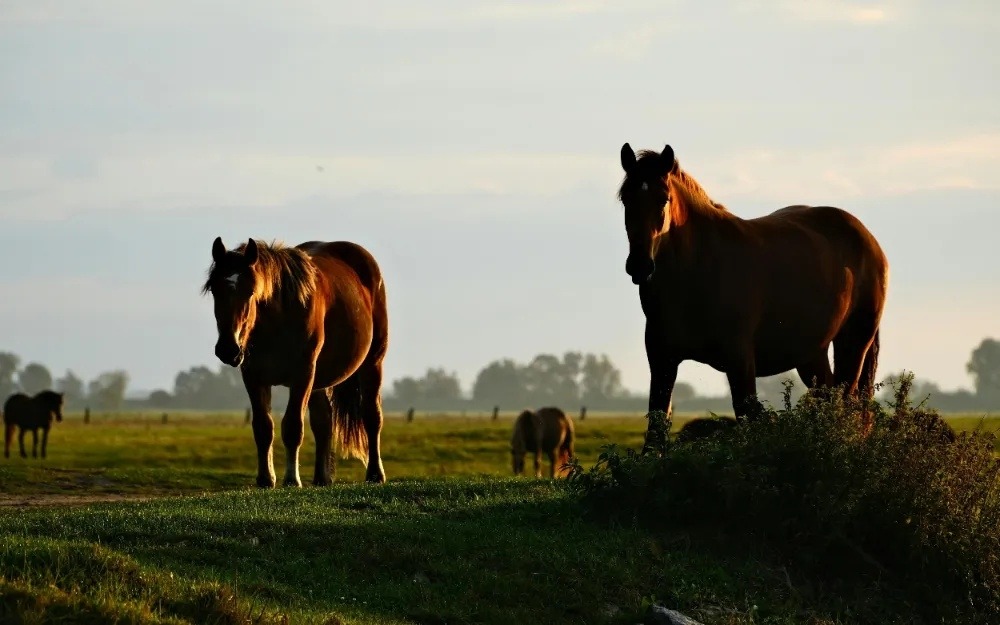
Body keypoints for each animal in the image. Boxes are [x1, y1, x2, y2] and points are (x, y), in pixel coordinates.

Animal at [202, 236, 389, 488]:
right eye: (214, 289)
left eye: (251, 291)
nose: (228, 349)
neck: (278, 319)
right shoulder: (253, 377)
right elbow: (263, 427)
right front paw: (266, 479)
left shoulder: (302, 374)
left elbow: (292, 427)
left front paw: (292, 479)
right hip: (319, 380)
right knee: (323, 422)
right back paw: (322, 478)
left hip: (372, 363)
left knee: (372, 416)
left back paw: (375, 474)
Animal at [617, 143, 889, 444]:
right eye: (626, 199)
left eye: (663, 199)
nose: (640, 265)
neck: (699, 270)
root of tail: (869, 239)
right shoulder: (662, 361)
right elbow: (655, 431)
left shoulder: (740, 361)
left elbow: (749, 418)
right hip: (811, 354)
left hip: (853, 343)